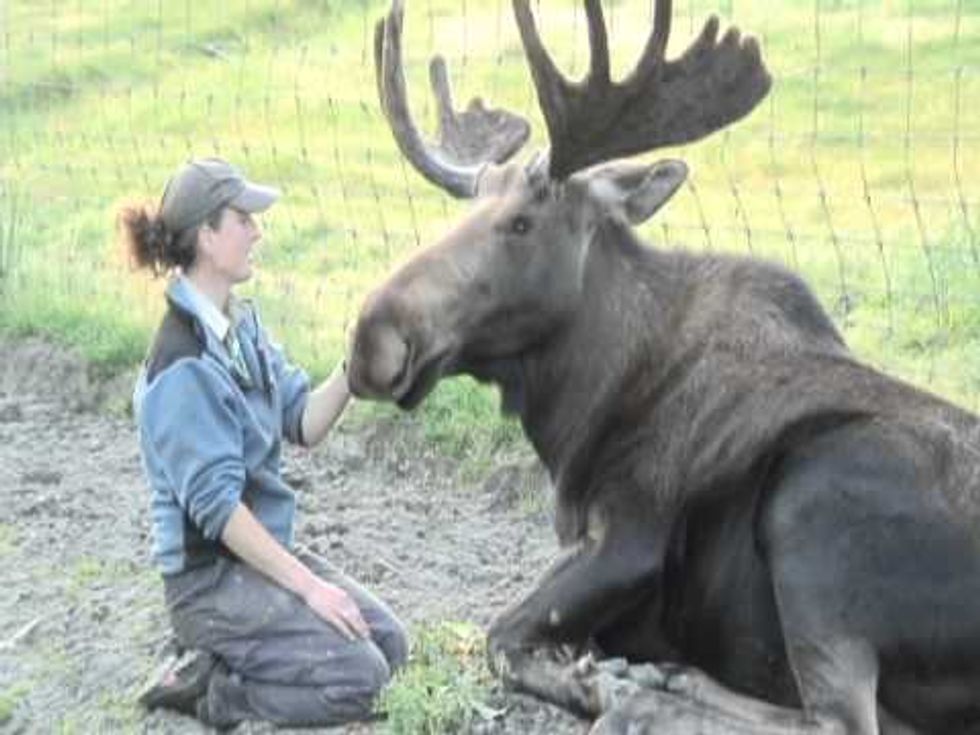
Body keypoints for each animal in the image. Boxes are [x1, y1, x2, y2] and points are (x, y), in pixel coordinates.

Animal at [346, 0, 980, 732]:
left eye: (524, 222)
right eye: (468, 206)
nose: (372, 338)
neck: (574, 413)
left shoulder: (630, 539)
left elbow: (499, 634)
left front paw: (593, 680)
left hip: (810, 511)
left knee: (837, 719)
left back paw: (646, 695)